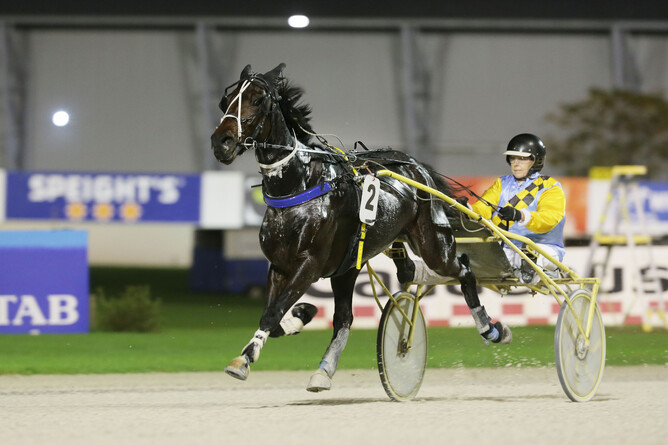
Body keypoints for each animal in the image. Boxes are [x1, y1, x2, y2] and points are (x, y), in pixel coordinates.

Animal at [210, 63, 511, 392]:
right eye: (226, 102)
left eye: (258, 99)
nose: (221, 142)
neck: (299, 185)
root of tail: (415, 165)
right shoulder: (280, 265)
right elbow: (274, 316)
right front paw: (301, 314)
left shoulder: (309, 264)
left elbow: (272, 312)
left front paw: (244, 360)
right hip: (350, 266)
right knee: (362, 305)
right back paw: (324, 370)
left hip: (433, 245)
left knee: (463, 269)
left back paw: (491, 329)